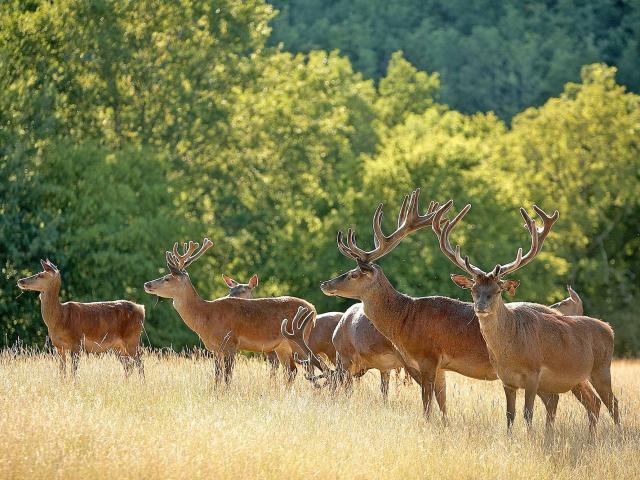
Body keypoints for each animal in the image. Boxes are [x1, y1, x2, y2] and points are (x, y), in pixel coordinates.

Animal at [16, 258, 145, 378]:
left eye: (40, 275)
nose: (20, 280)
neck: (60, 318)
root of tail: (141, 309)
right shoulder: (58, 346)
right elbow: (62, 370)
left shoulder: (76, 341)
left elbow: (73, 370)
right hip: (118, 346)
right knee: (128, 365)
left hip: (132, 338)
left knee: (139, 362)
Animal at [144, 240, 316, 386]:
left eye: (167, 278)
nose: (147, 284)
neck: (206, 317)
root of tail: (313, 308)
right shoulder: (215, 349)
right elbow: (217, 376)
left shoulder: (230, 343)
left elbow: (227, 377)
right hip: (282, 346)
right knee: (292, 371)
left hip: (299, 339)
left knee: (310, 365)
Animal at [432, 204, 616, 434]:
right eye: (473, 290)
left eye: (498, 290)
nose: (480, 307)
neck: (511, 351)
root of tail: (609, 329)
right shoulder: (506, 380)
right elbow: (510, 415)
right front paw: (510, 439)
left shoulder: (533, 375)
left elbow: (528, 414)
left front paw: (529, 438)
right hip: (580, 377)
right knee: (595, 403)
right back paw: (590, 437)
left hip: (602, 368)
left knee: (612, 403)